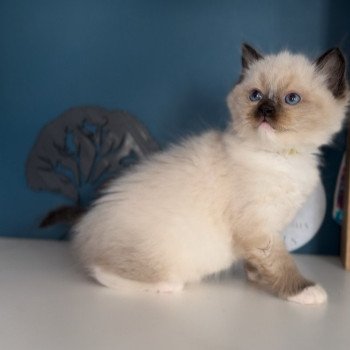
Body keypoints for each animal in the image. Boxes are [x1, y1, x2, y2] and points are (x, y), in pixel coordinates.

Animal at [72, 43, 348, 304]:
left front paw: (256, 277)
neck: (280, 158)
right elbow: (282, 264)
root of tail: (87, 226)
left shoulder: (266, 229)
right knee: (102, 272)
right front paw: (305, 291)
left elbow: (259, 263)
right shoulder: (260, 228)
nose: (265, 110)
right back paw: (167, 285)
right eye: (255, 96)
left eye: (291, 99)